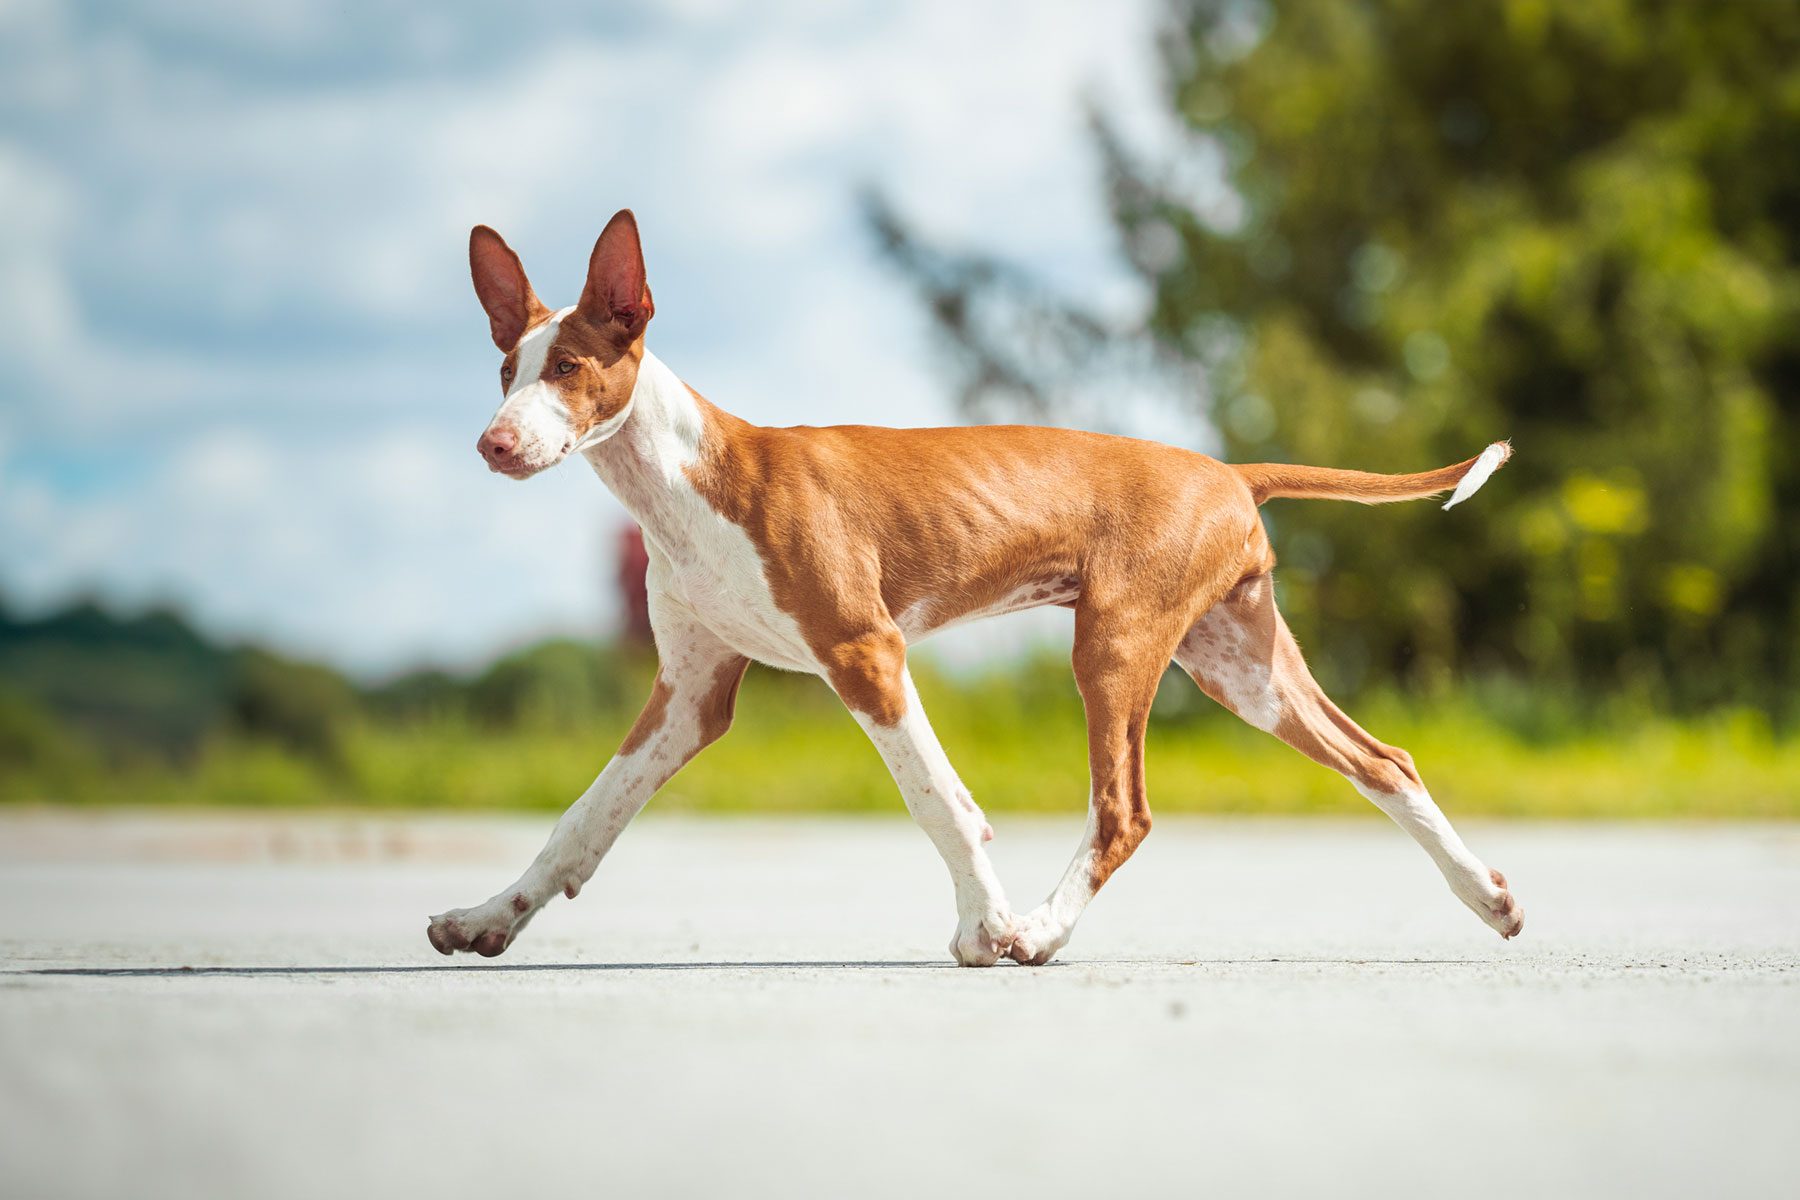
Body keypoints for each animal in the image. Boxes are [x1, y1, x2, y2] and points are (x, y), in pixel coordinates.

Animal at [428, 213, 1526, 964]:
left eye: (571, 368)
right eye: (503, 372)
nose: (491, 444)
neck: (689, 481)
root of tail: (1226, 471)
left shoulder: (864, 651)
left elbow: (940, 802)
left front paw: (988, 924)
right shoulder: (687, 697)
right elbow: (581, 822)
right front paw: (488, 918)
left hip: (1116, 642)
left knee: (1125, 812)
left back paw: (1039, 929)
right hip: (1239, 666)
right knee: (1385, 762)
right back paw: (1490, 898)